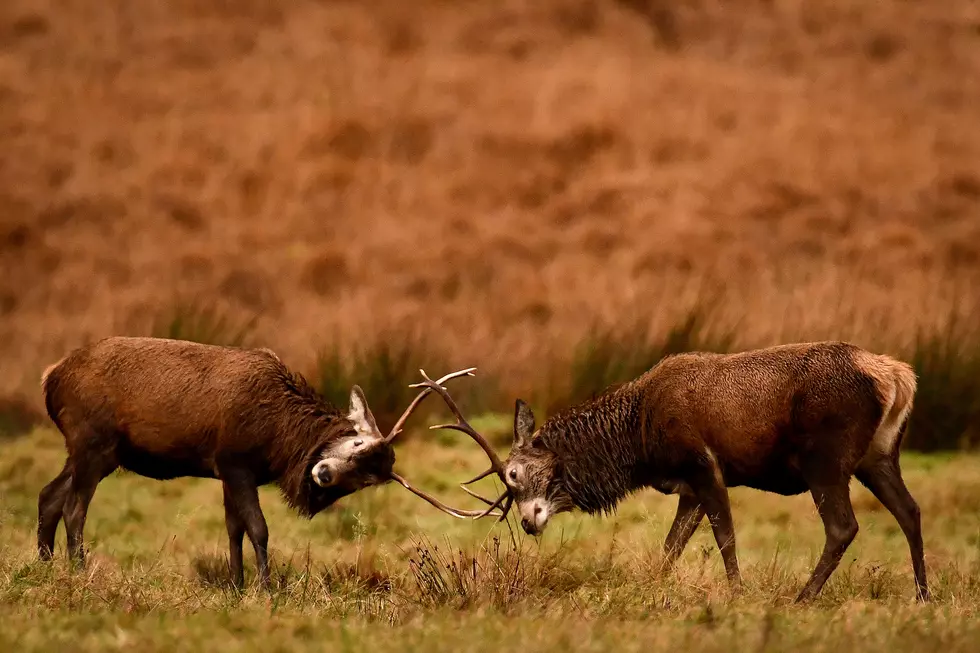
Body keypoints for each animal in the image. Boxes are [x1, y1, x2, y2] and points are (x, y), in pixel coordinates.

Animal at [37, 336, 487, 589]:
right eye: (358, 443)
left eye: (365, 480)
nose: (325, 474)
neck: (277, 440)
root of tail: (50, 378)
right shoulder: (234, 460)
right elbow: (258, 527)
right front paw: (267, 589)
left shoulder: (227, 469)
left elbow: (234, 528)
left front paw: (237, 585)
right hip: (92, 441)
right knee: (74, 507)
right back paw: (78, 572)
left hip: (95, 451)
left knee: (49, 495)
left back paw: (45, 565)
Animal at [412, 341, 929, 603]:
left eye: (515, 474)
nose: (527, 521)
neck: (638, 442)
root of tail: (898, 378)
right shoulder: (688, 487)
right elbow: (672, 545)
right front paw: (655, 587)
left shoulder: (704, 463)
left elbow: (725, 537)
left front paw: (737, 594)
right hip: (879, 455)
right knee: (910, 511)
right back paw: (923, 595)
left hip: (826, 458)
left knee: (843, 526)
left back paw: (802, 597)